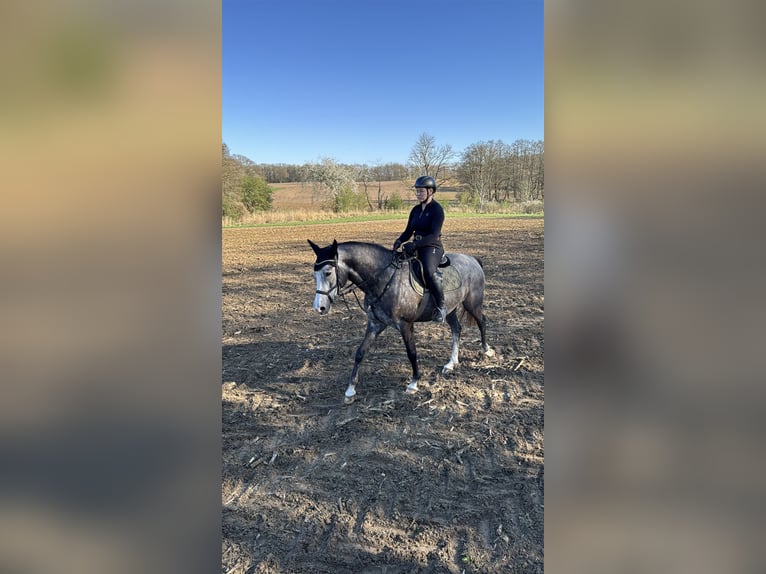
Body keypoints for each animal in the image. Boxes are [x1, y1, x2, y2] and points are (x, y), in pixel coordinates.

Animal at [308, 239, 495, 404]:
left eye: (327, 272)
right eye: (314, 274)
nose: (319, 308)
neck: (383, 279)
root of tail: (472, 259)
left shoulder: (405, 325)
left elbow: (411, 353)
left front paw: (413, 383)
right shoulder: (375, 324)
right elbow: (360, 353)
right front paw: (350, 391)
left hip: (473, 303)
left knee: (482, 322)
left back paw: (486, 350)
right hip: (450, 310)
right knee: (457, 329)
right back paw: (451, 363)